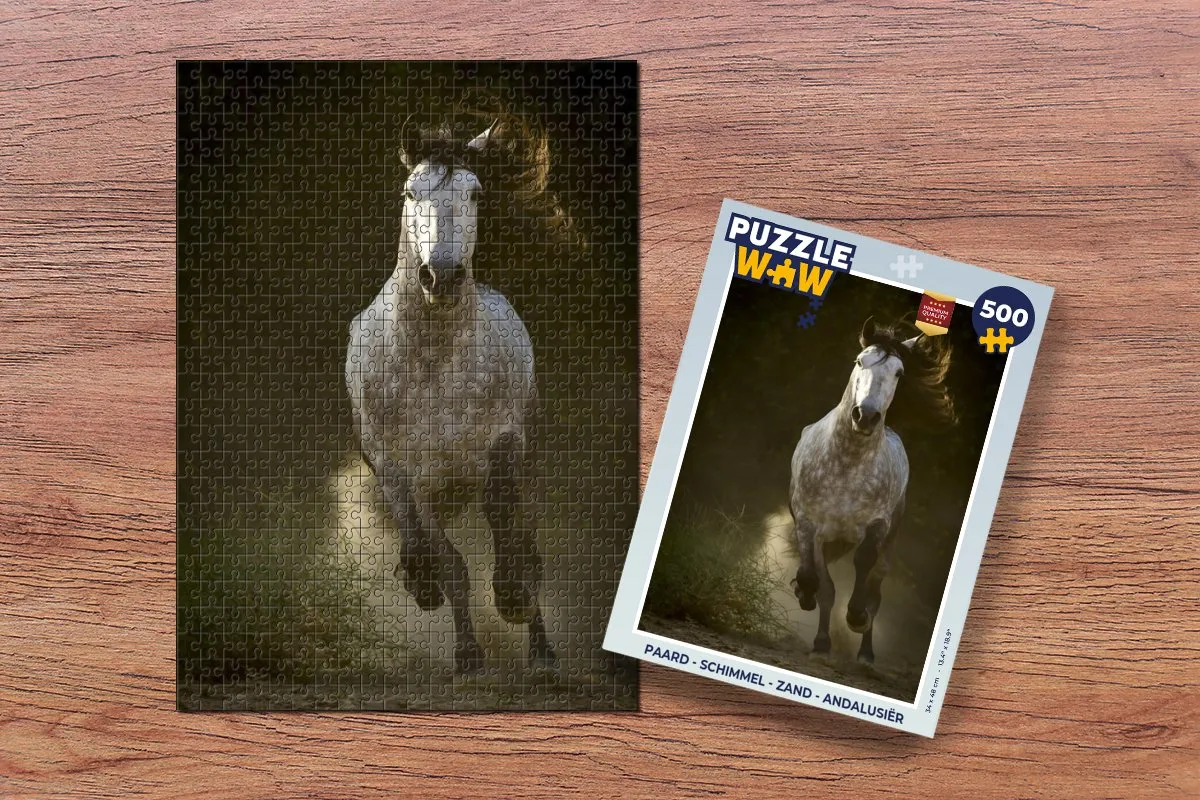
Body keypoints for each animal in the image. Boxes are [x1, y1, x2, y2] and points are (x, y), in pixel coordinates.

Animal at [344, 112, 560, 675]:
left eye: (475, 193)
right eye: (410, 191)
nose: (440, 276)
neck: (433, 366)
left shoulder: (505, 445)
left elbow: (509, 528)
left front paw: (513, 599)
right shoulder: (410, 475)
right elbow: (449, 565)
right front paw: (465, 651)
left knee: (524, 536)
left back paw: (541, 648)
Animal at [789, 318, 953, 664]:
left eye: (898, 372)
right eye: (860, 361)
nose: (865, 416)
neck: (846, 465)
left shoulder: (877, 526)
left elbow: (863, 565)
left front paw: (856, 616)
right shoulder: (808, 523)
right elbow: (815, 579)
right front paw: (804, 595)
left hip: (890, 540)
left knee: (876, 590)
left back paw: (865, 652)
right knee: (828, 589)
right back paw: (822, 642)